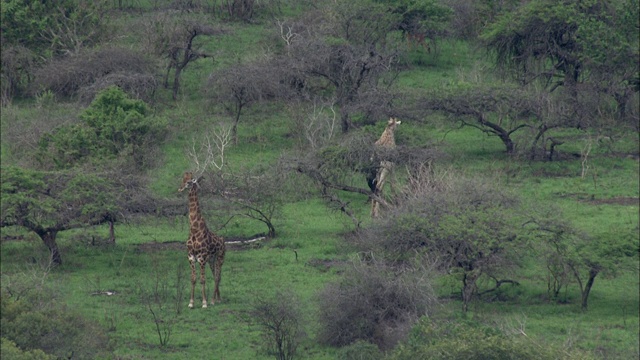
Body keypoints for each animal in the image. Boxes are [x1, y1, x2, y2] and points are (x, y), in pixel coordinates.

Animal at [179, 172, 226, 310]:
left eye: (189, 182)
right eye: (182, 180)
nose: (180, 189)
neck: (194, 230)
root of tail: (223, 241)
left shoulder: (202, 258)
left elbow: (202, 279)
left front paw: (204, 303)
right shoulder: (191, 257)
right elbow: (193, 279)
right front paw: (191, 303)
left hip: (220, 258)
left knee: (217, 277)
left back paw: (213, 300)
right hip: (212, 260)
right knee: (216, 276)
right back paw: (218, 299)